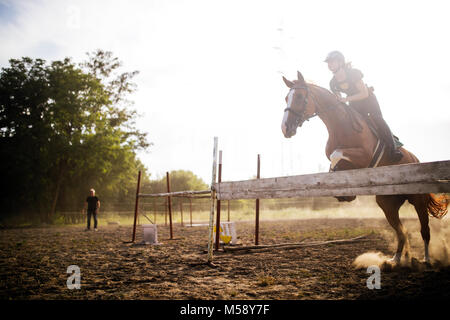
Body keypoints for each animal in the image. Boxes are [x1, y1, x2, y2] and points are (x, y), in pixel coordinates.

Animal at [282, 71, 446, 264]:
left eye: (300, 97)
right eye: (286, 98)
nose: (285, 128)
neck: (341, 126)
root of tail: (416, 159)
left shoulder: (364, 156)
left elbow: (336, 154)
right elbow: (334, 160)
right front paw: (344, 192)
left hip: (418, 200)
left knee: (424, 230)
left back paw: (426, 259)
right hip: (387, 204)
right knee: (401, 231)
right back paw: (396, 259)